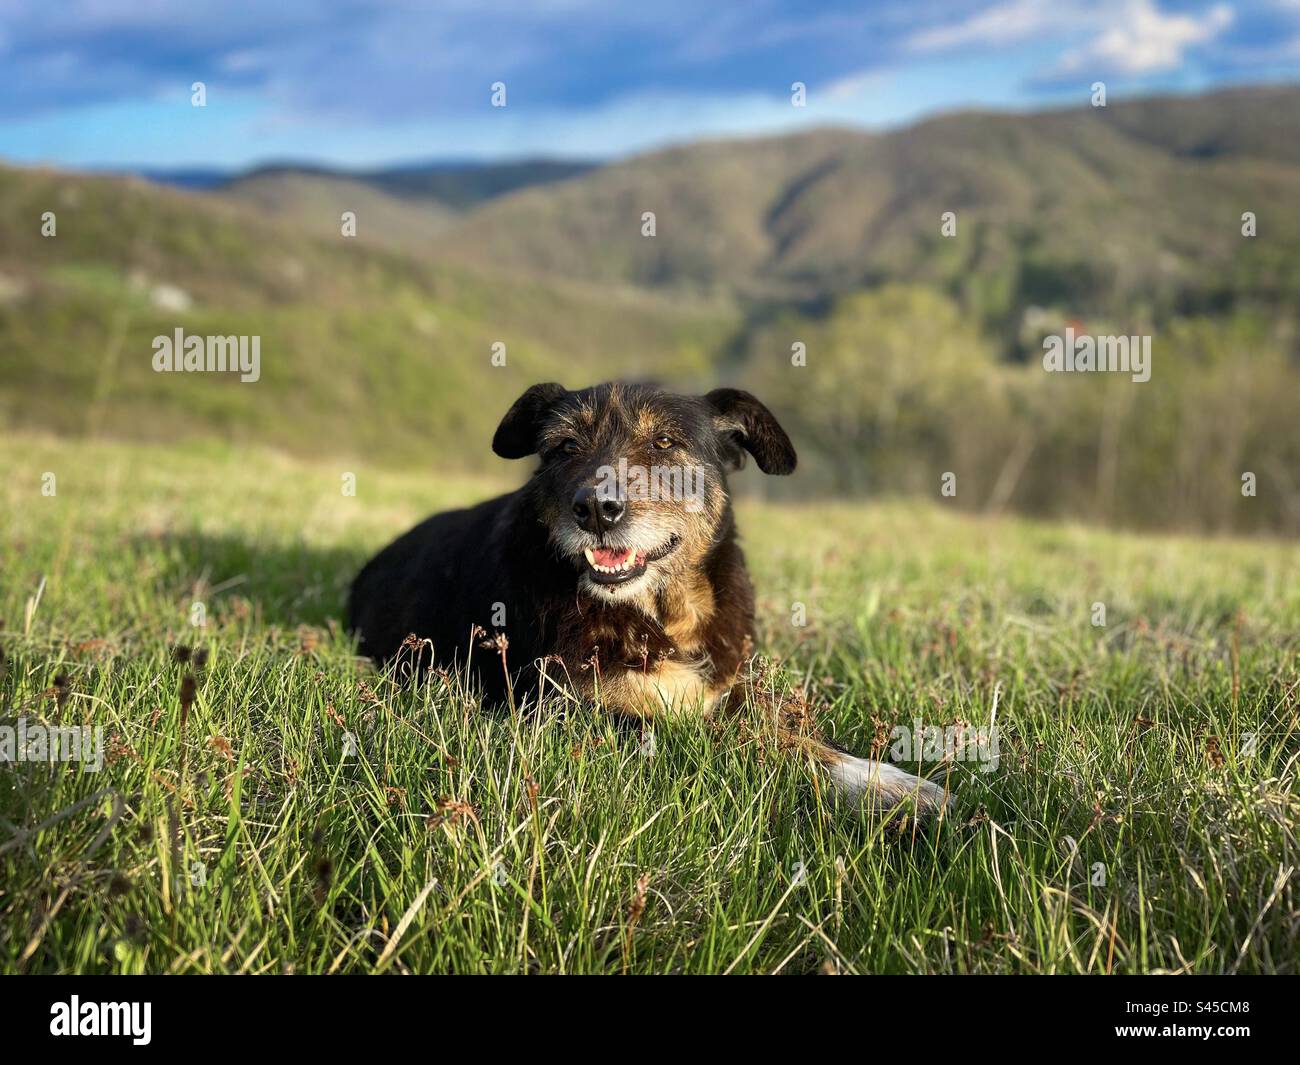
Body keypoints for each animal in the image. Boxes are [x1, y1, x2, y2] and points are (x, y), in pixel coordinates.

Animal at [351, 382, 951, 816]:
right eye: (565, 447)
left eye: (663, 443)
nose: (596, 509)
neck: (659, 614)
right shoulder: (574, 713)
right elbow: (731, 737)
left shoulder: (727, 683)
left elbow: (779, 725)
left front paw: (882, 780)